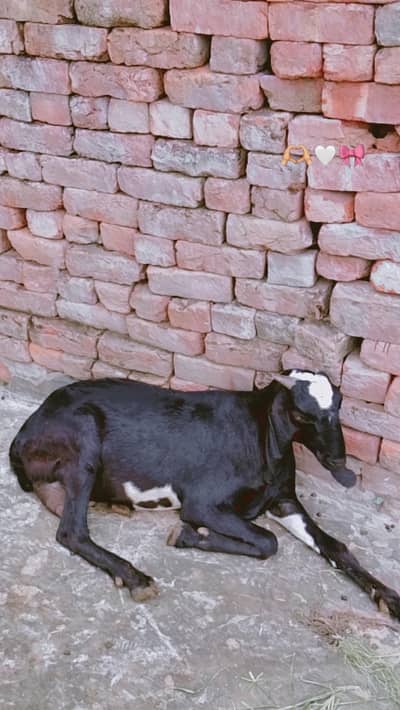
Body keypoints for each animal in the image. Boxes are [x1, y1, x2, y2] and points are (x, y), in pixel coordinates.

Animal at [9, 369, 400, 617]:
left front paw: (388, 598)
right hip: (84, 437)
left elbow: (335, 546)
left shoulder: (283, 499)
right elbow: (268, 541)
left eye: (339, 405)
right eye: (303, 414)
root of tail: (26, 431)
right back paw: (136, 578)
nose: (339, 459)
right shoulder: (203, 503)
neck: (260, 436)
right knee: (71, 531)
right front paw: (187, 536)